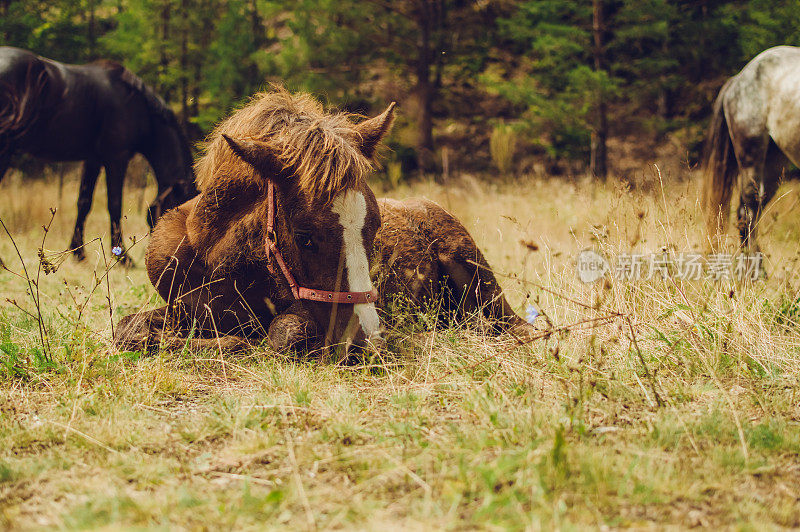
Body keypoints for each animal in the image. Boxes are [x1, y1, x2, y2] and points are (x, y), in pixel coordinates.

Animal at [0, 47, 198, 262]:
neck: (137, 107)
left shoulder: (93, 160)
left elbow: (84, 203)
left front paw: (78, 253)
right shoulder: (117, 159)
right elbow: (115, 205)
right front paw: (123, 258)